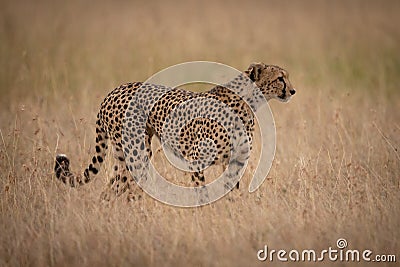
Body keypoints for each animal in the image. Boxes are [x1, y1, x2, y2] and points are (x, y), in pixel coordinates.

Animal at [54, 62, 296, 201]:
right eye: (280, 78)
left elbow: (231, 194)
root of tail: (114, 90)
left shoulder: (235, 161)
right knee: (120, 187)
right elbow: (202, 192)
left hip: (126, 156)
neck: (248, 103)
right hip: (138, 153)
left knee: (111, 189)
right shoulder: (196, 160)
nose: (293, 91)